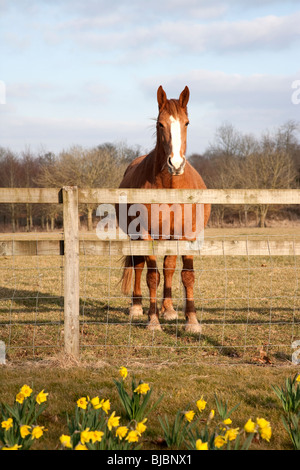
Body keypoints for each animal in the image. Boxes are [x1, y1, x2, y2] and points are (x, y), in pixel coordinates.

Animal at [117, 86, 211, 332]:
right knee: (139, 266)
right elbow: (151, 276)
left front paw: (192, 321)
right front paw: (153, 320)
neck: (169, 187)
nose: (175, 164)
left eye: (186, 123)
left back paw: (168, 309)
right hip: (136, 237)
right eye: (160, 124)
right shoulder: (145, 234)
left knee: (169, 267)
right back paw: (137, 307)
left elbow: (186, 275)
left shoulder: (187, 234)